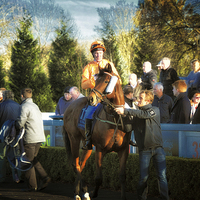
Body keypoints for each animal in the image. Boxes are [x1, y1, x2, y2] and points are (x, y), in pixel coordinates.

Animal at [62, 64, 131, 200]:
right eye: (96, 80)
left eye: (105, 81)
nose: (91, 99)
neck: (114, 119)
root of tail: (69, 107)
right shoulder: (100, 149)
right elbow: (98, 178)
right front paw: (93, 193)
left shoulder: (123, 150)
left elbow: (122, 176)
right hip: (74, 138)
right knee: (75, 164)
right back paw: (83, 192)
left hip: (87, 144)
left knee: (81, 164)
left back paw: (78, 192)